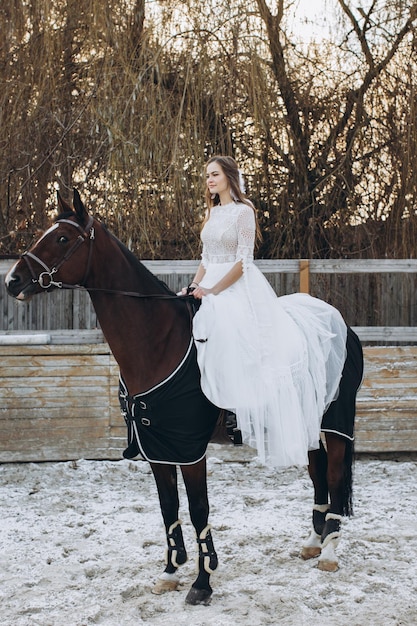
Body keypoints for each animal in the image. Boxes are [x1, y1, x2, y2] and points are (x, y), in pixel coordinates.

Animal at [5, 188, 364, 596]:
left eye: (63, 238)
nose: (13, 280)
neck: (161, 342)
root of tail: (337, 322)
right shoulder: (158, 447)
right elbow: (168, 508)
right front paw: (170, 571)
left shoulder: (190, 448)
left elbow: (198, 509)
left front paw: (203, 581)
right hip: (303, 421)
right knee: (318, 475)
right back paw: (313, 543)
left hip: (335, 423)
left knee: (333, 478)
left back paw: (329, 553)